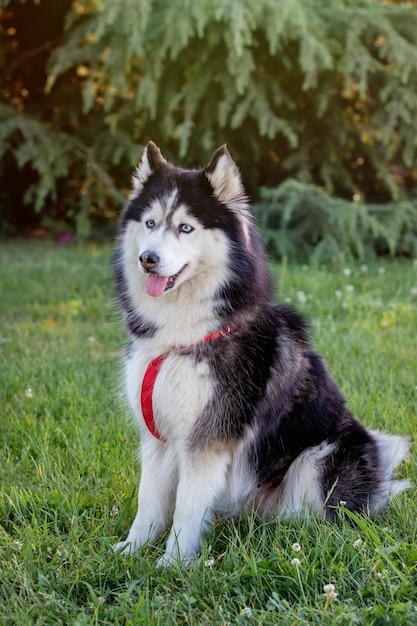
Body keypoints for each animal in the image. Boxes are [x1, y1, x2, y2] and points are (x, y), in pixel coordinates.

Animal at [111, 143, 410, 564]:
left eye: (186, 228)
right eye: (151, 223)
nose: (147, 259)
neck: (181, 336)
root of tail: (379, 482)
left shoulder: (208, 437)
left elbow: (186, 507)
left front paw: (172, 563)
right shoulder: (157, 434)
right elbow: (149, 501)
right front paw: (132, 550)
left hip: (321, 456)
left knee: (320, 516)